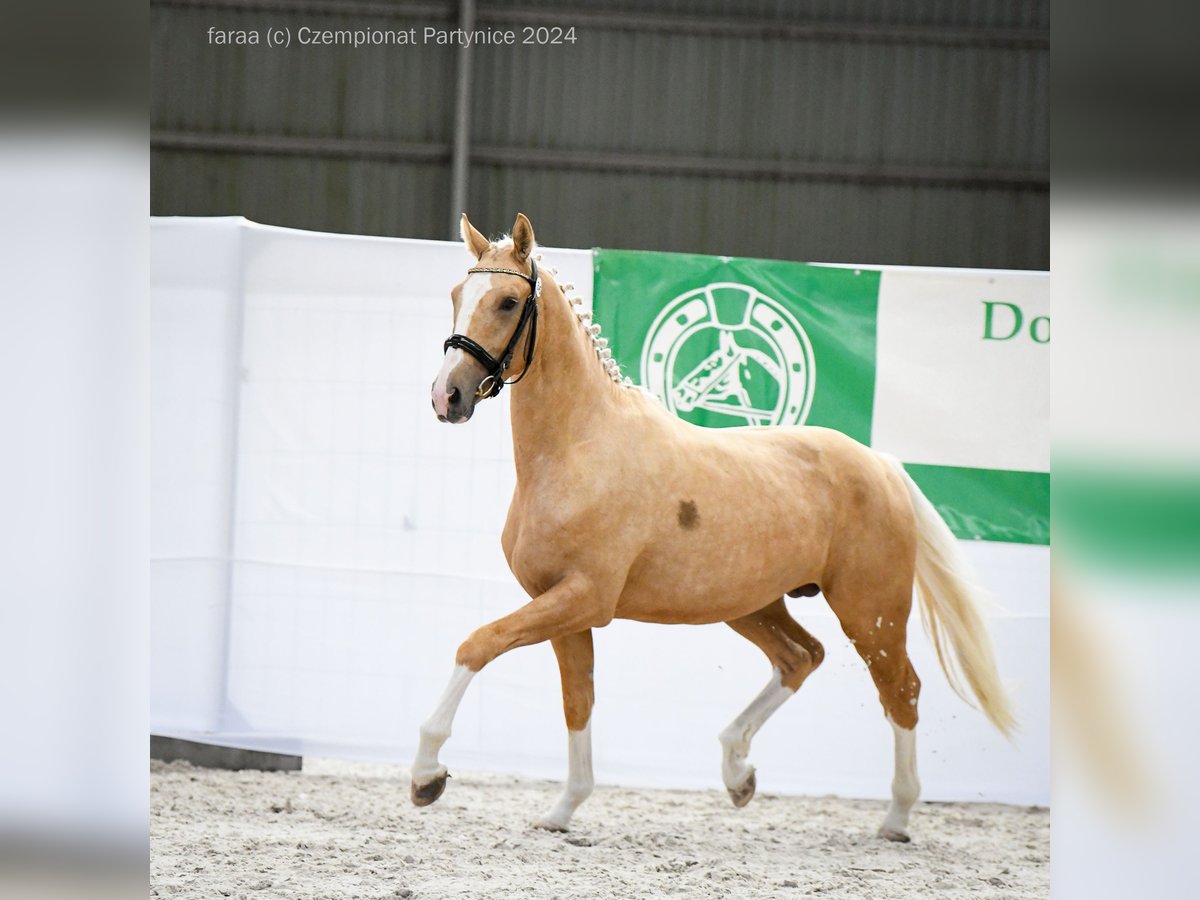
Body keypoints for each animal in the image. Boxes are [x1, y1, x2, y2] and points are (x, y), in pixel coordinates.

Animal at [412, 213, 1012, 844]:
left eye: (507, 302)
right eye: (456, 296)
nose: (447, 396)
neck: (579, 448)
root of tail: (883, 465)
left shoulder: (582, 599)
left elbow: (477, 644)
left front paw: (427, 775)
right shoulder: (559, 606)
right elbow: (578, 701)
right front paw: (561, 811)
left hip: (871, 612)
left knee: (901, 690)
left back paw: (895, 817)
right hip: (753, 605)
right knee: (801, 657)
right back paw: (737, 772)